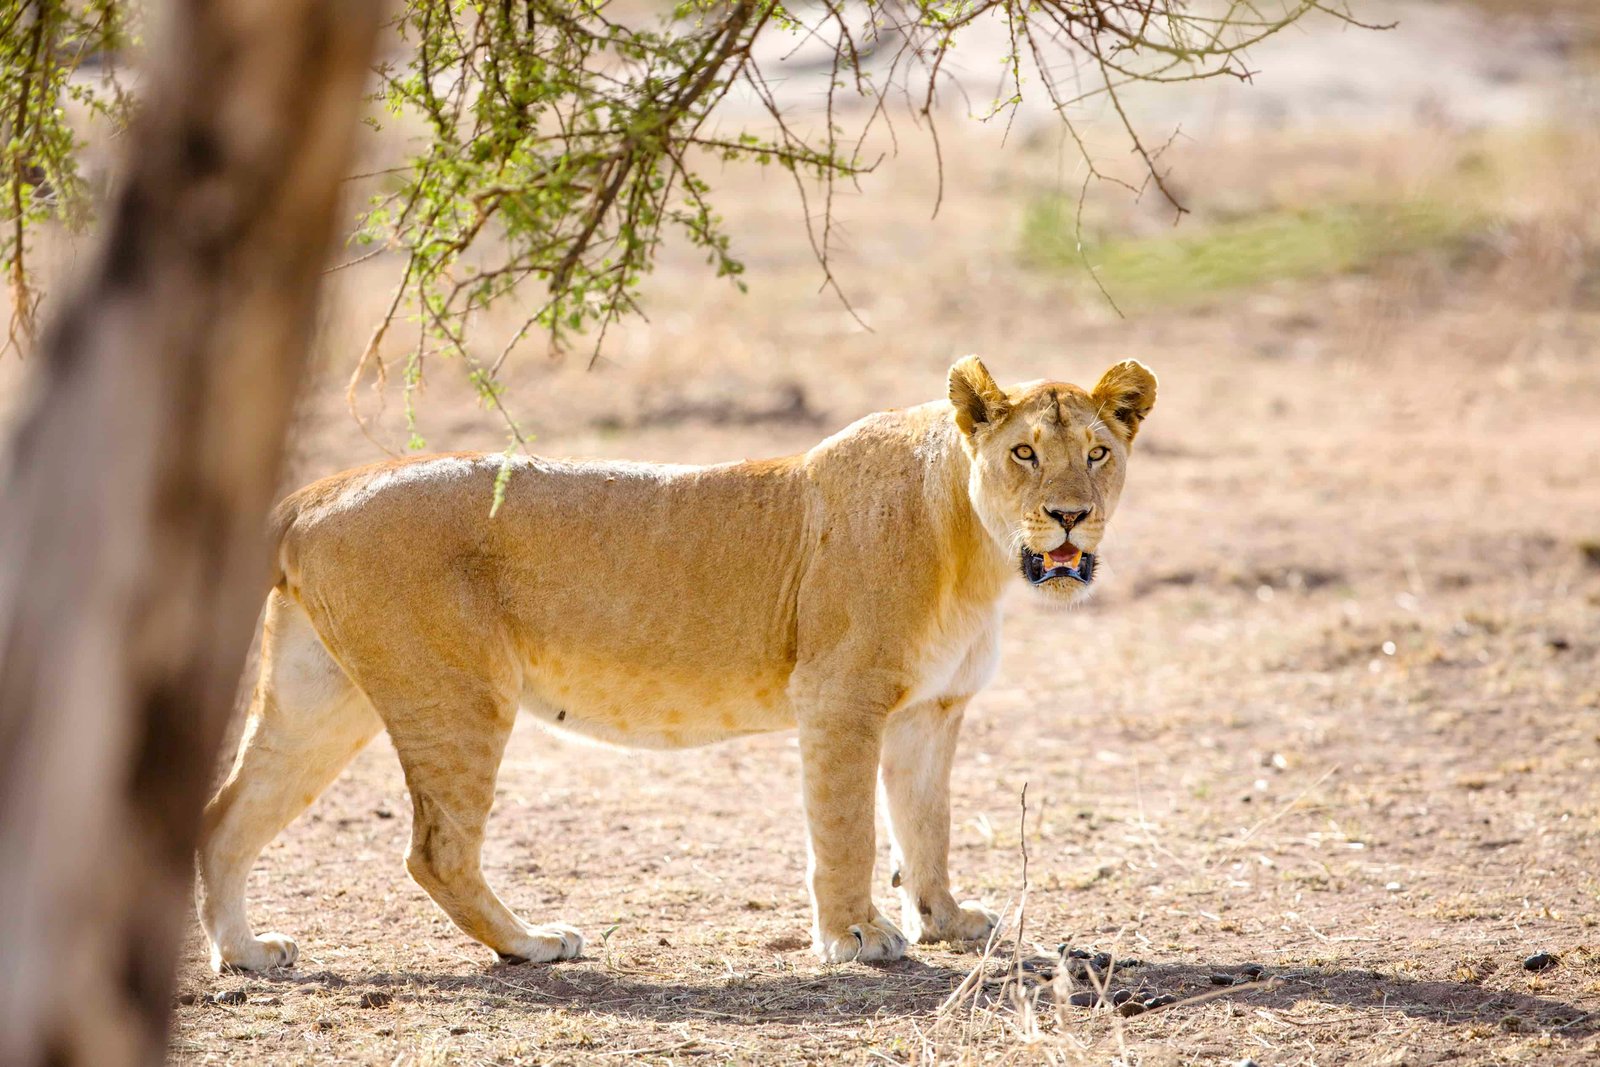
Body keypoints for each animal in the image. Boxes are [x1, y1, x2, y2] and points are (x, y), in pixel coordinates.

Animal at [196, 356, 1156, 971]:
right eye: (1023, 452)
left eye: (1097, 453)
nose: (1069, 515)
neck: (974, 550)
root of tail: (315, 491)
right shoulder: (839, 697)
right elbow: (846, 828)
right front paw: (855, 937)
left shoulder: (932, 710)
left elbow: (927, 825)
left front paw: (947, 922)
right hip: (457, 695)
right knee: (435, 852)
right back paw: (533, 943)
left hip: (322, 697)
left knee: (224, 816)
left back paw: (247, 954)